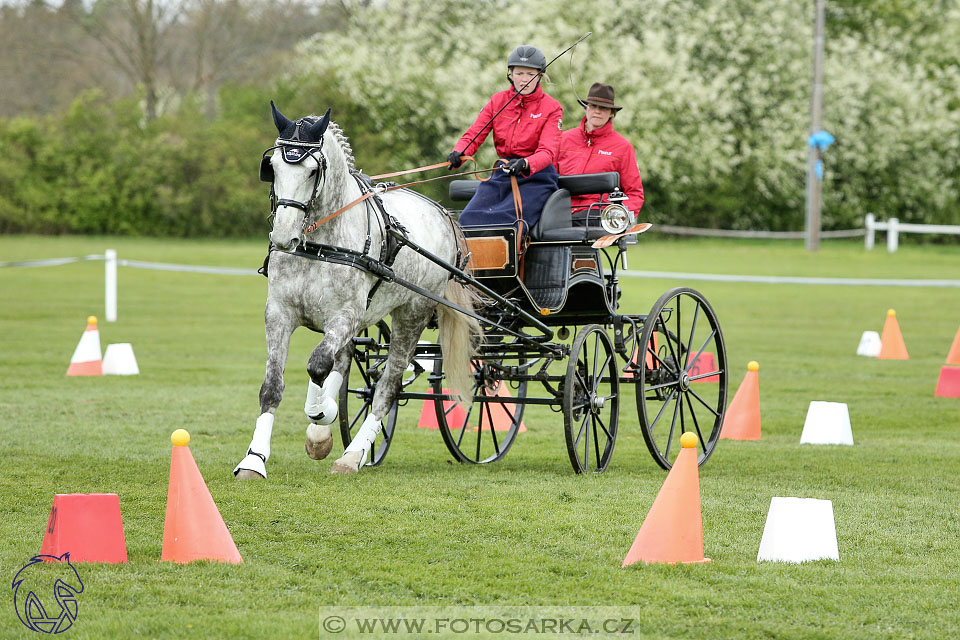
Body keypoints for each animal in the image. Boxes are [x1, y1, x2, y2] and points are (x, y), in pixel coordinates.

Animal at [236, 102, 476, 478]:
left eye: (311, 171)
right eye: (272, 167)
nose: (283, 237)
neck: (319, 244)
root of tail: (443, 214)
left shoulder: (346, 315)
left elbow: (318, 364)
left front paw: (321, 413)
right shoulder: (278, 313)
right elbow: (274, 386)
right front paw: (254, 459)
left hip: (413, 314)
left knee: (387, 385)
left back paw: (353, 454)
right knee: (348, 360)